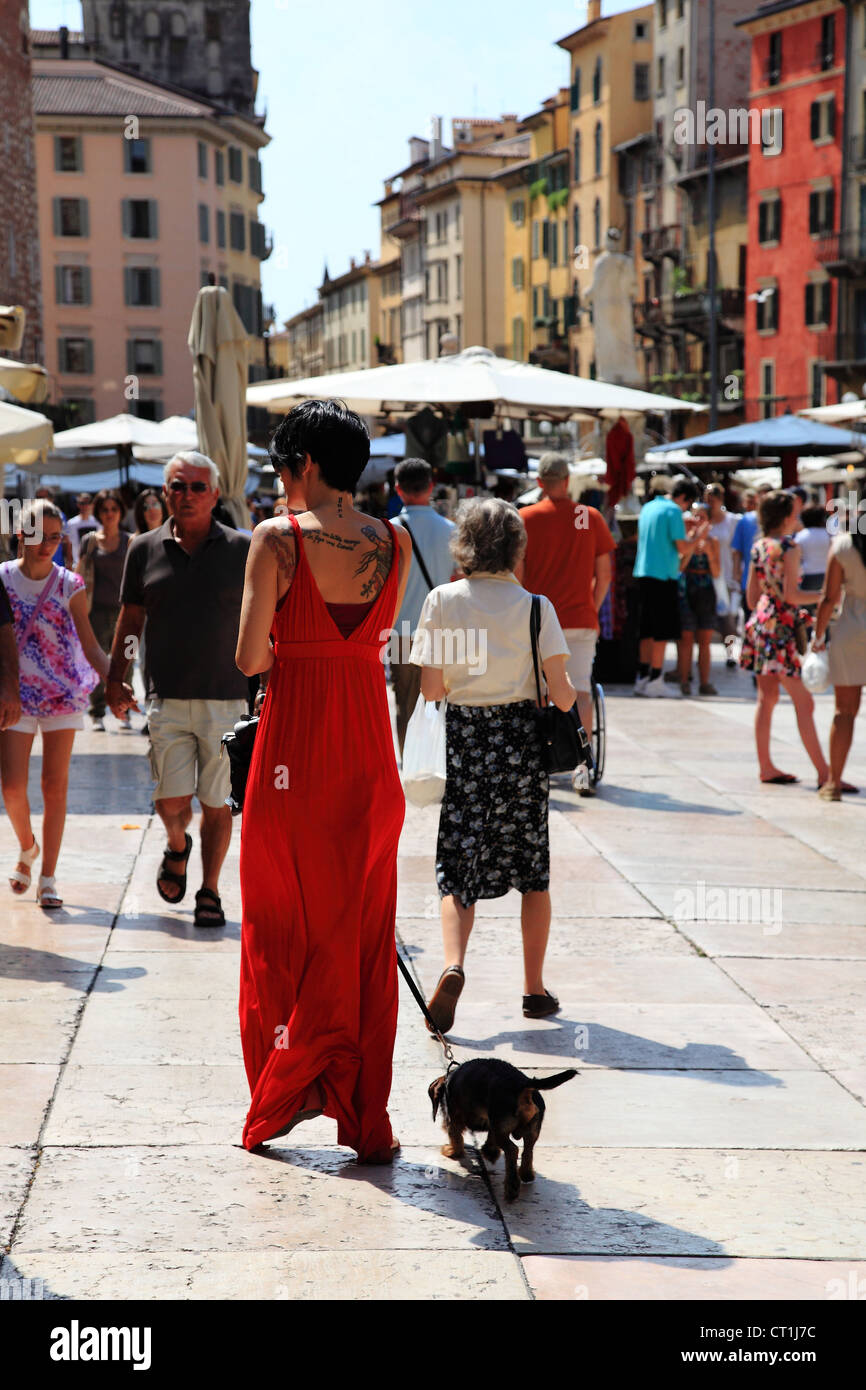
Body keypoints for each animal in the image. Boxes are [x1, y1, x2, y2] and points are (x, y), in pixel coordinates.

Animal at [428, 1056, 575, 1200]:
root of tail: (522, 1085)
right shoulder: (493, 1123)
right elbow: (490, 1137)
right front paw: (490, 1151)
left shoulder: (453, 1119)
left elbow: (456, 1138)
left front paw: (452, 1151)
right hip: (531, 1130)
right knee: (528, 1150)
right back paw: (526, 1174)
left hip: (502, 1129)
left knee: (513, 1150)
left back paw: (511, 1187)